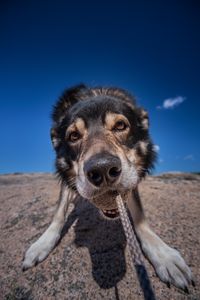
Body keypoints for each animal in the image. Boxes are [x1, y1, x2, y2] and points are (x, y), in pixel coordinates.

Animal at [22, 84, 193, 290]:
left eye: (120, 125)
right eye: (73, 136)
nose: (102, 169)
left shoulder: (132, 176)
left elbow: (139, 216)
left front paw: (162, 254)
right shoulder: (67, 176)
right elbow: (59, 212)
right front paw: (43, 243)